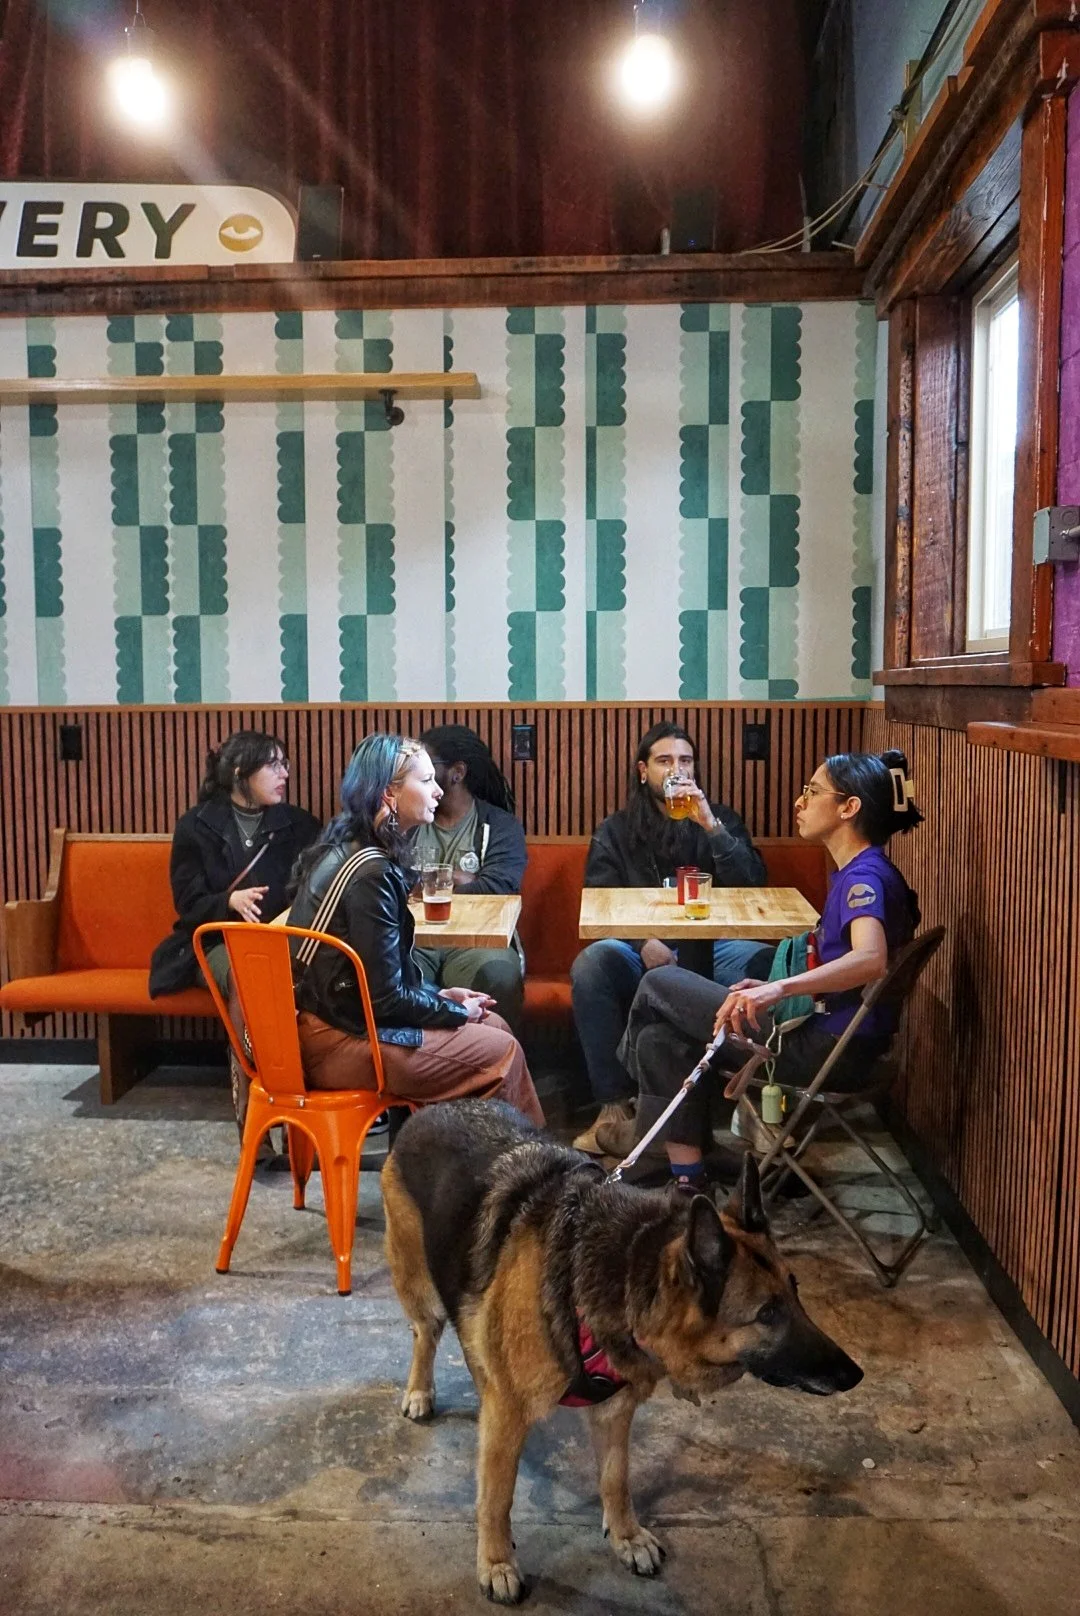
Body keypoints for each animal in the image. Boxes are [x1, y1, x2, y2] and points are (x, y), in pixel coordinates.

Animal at [383, 1099, 862, 1605]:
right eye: (767, 1314)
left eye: (796, 1293)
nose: (855, 1375)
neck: (623, 1269)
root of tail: (433, 1108)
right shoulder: (508, 1414)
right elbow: (496, 1497)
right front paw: (495, 1562)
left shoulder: (613, 1411)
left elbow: (616, 1479)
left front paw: (626, 1536)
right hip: (420, 1287)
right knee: (425, 1333)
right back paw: (419, 1391)